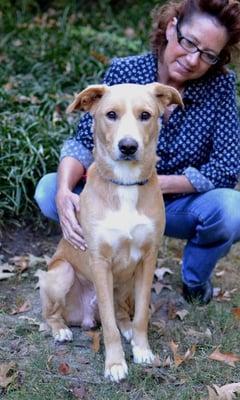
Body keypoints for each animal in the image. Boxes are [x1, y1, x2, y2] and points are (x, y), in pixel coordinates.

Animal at [38, 83, 183, 382]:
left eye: (145, 115)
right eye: (111, 115)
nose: (128, 146)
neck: (125, 184)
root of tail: (84, 317)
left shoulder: (148, 259)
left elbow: (141, 315)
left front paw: (141, 350)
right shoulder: (100, 262)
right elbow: (108, 324)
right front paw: (115, 364)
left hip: (126, 283)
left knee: (122, 313)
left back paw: (126, 327)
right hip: (61, 273)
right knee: (53, 313)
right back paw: (60, 329)